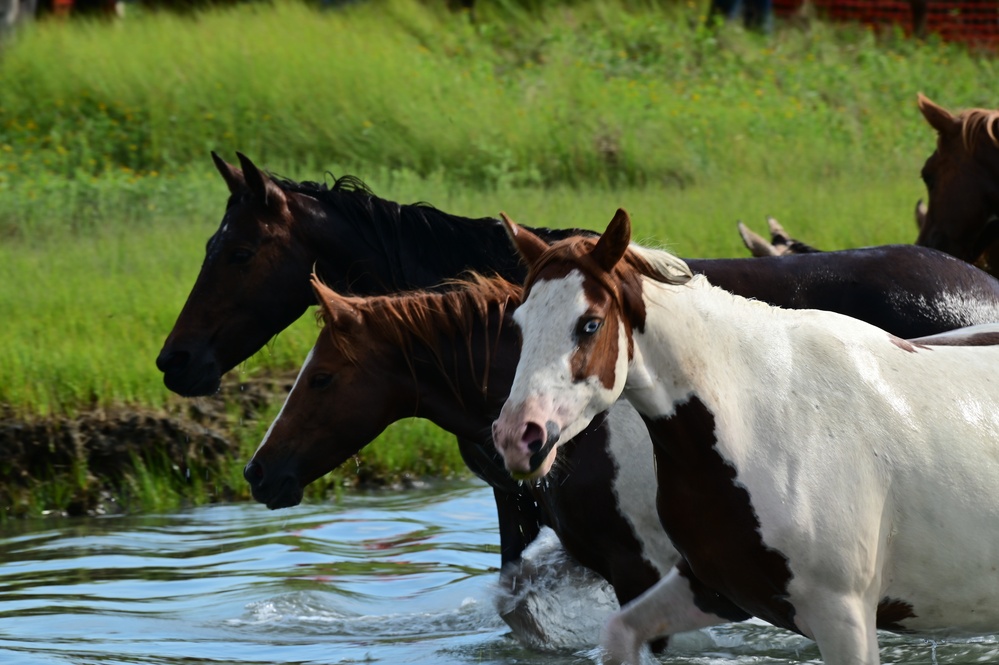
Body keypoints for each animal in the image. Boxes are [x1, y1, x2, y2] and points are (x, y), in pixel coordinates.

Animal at [494, 209, 999, 664]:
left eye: (590, 323)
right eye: (519, 325)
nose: (518, 435)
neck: (769, 417)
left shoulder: (845, 616)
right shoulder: (716, 589)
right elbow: (621, 632)